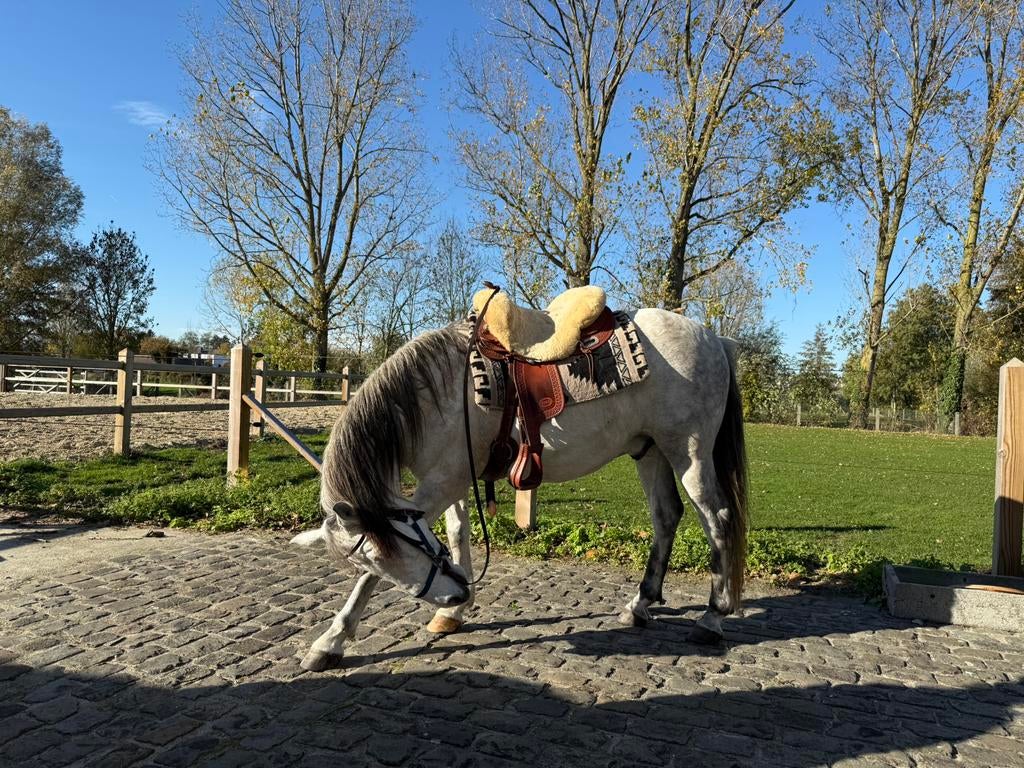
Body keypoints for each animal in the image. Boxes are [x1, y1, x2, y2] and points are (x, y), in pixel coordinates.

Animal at [291, 306, 748, 672]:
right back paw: (639, 605)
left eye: (381, 557)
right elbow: (457, 535)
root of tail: (715, 339)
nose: (451, 596)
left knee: (718, 519)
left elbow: (373, 580)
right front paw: (456, 612)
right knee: (666, 516)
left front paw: (330, 641)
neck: (437, 395)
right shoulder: (453, 479)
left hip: (688, 454)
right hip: (649, 451)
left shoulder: (440, 484)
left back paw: (712, 618)